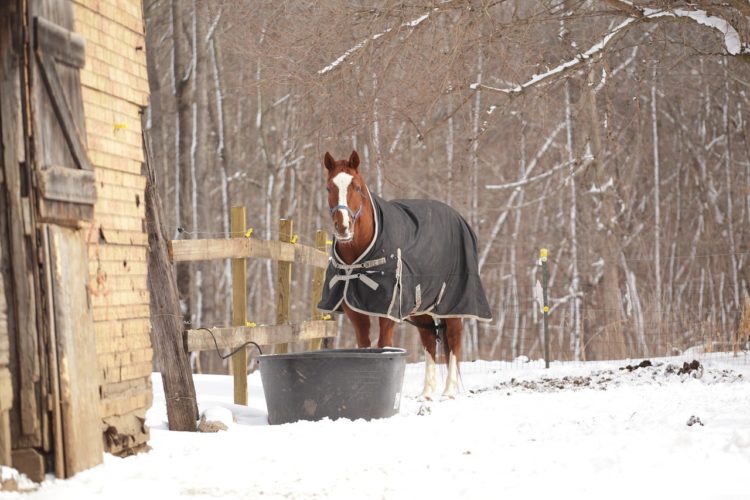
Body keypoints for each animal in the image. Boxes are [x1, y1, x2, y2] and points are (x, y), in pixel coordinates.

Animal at [317, 150, 492, 399]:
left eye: (357, 187)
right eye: (328, 188)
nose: (343, 227)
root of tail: (460, 219)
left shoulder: (388, 312)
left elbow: (384, 345)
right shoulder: (355, 311)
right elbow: (364, 346)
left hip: (453, 305)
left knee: (454, 339)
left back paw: (449, 391)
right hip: (421, 308)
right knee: (429, 339)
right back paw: (426, 392)